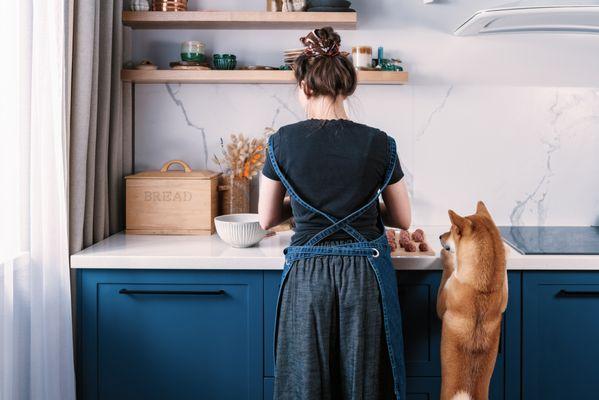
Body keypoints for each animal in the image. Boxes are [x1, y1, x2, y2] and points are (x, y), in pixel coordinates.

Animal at [438, 202, 508, 400]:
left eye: (452, 230)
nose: (439, 236)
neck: (482, 288)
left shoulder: (442, 302)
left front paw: (448, 258)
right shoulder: (503, 298)